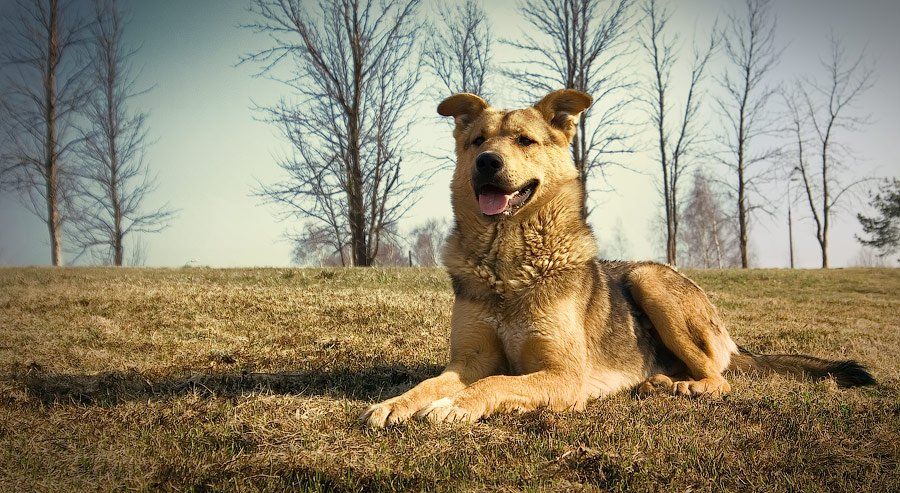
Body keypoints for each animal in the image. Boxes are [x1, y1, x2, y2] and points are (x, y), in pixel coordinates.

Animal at [360, 89, 880, 426]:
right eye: (476, 142)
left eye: (524, 141)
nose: (488, 162)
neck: (507, 262)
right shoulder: (467, 360)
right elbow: (432, 383)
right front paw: (398, 402)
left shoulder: (563, 375)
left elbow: (493, 385)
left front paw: (454, 407)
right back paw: (661, 382)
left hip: (651, 279)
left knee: (721, 378)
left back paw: (684, 386)